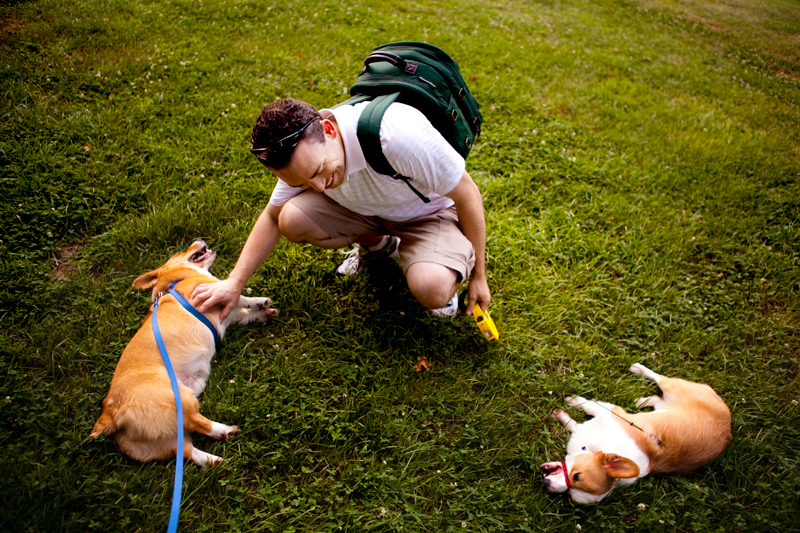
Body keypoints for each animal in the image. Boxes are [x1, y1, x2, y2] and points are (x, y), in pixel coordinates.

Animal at [89, 240, 278, 466]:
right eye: (180, 251)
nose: (198, 240)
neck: (174, 283)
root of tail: (111, 413)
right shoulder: (209, 291)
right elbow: (240, 297)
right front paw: (260, 301)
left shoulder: (230, 316)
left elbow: (246, 313)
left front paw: (263, 313)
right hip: (180, 398)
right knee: (197, 422)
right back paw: (225, 430)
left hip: (165, 439)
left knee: (188, 451)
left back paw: (215, 460)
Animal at [540, 362, 736, 502]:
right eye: (577, 475)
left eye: (571, 493)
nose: (545, 484)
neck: (597, 448)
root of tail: (729, 429)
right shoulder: (608, 412)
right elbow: (586, 405)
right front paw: (573, 401)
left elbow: (574, 422)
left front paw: (565, 411)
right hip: (671, 389)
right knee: (658, 381)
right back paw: (639, 373)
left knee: (658, 392)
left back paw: (641, 397)